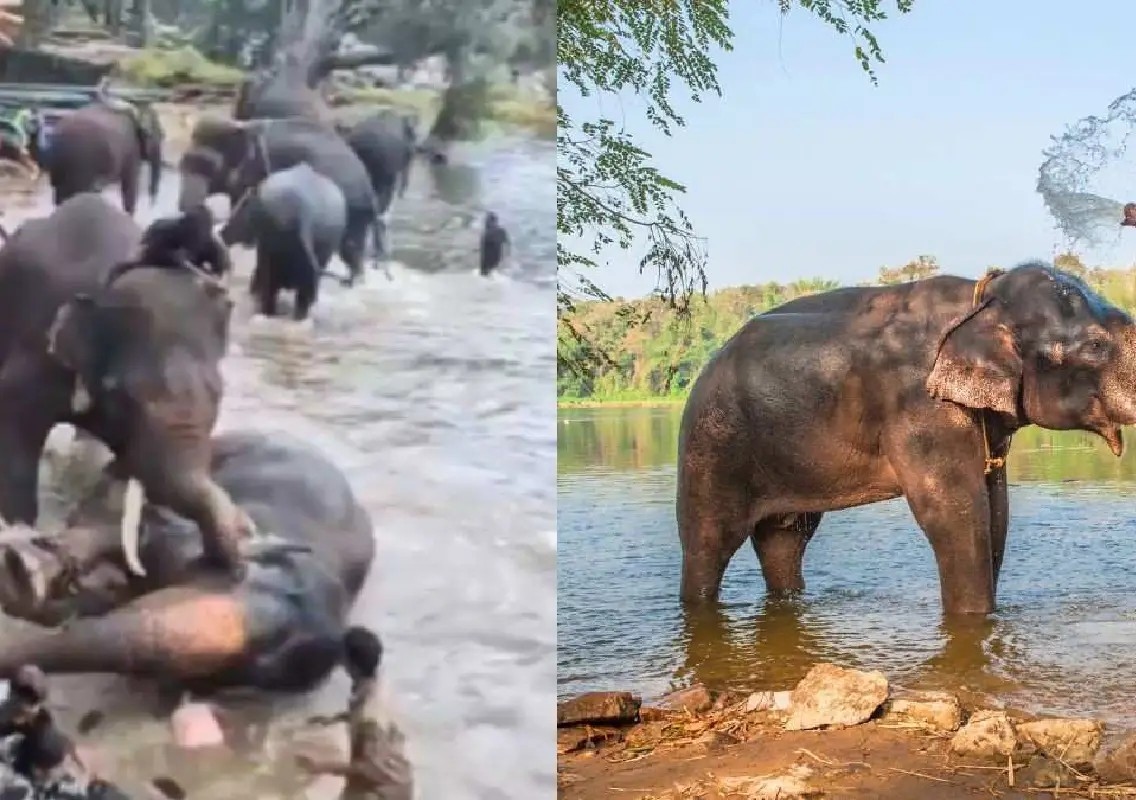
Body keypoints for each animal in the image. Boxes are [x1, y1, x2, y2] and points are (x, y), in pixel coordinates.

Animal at [177, 116, 385, 283]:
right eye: (182, 162)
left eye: (207, 165)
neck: (240, 126)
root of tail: (370, 192)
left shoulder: (258, 172)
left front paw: (246, 245)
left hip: (352, 208)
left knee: (348, 245)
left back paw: (351, 280)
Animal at [220, 162, 348, 320]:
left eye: (243, 205)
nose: (222, 234)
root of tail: (305, 207)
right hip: (324, 245)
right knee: (302, 297)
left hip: (272, 249)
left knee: (271, 291)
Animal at [677, 262, 1136, 616]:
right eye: (1096, 346)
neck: (981, 300)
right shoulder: (919, 406)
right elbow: (954, 512)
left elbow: (996, 510)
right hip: (712, 442)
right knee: (709, 541)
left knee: (785, 540)